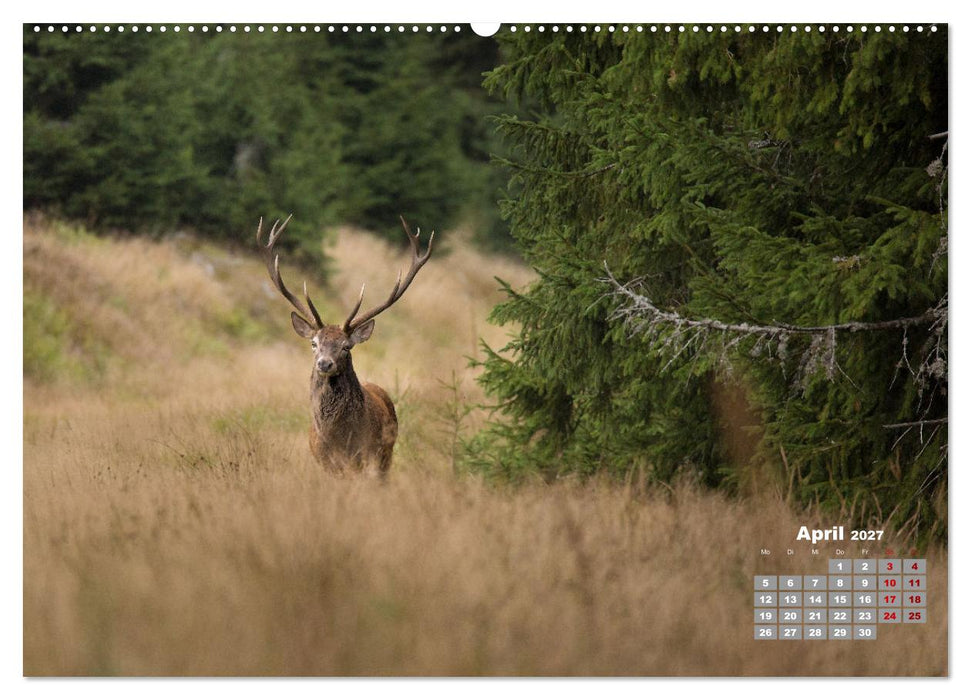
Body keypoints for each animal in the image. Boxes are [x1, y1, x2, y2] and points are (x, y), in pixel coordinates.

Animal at [257, 215, 433, 475]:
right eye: (314, 343)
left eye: (346, 346)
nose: (324, 363)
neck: (339, 440)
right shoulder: (325, 463)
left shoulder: (366, 459)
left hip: (386, 456)